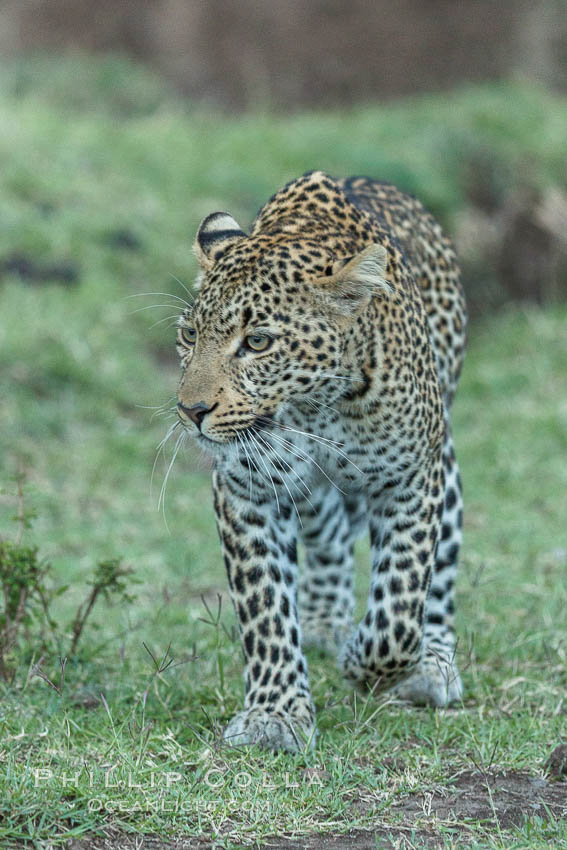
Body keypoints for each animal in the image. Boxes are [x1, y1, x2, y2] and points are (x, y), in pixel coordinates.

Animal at [175, 171, 468, 748]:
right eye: (189, 334)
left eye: (257, 341)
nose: (191, 410)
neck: (315, 405)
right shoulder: (249, 490)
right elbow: (264, 606)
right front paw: (274, 714)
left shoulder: (410, 481)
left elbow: (400, 607)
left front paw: (366, 664)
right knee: (329, 532)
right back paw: (322, 621)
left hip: (442, 460)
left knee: (439, 570)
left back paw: (431, 664)